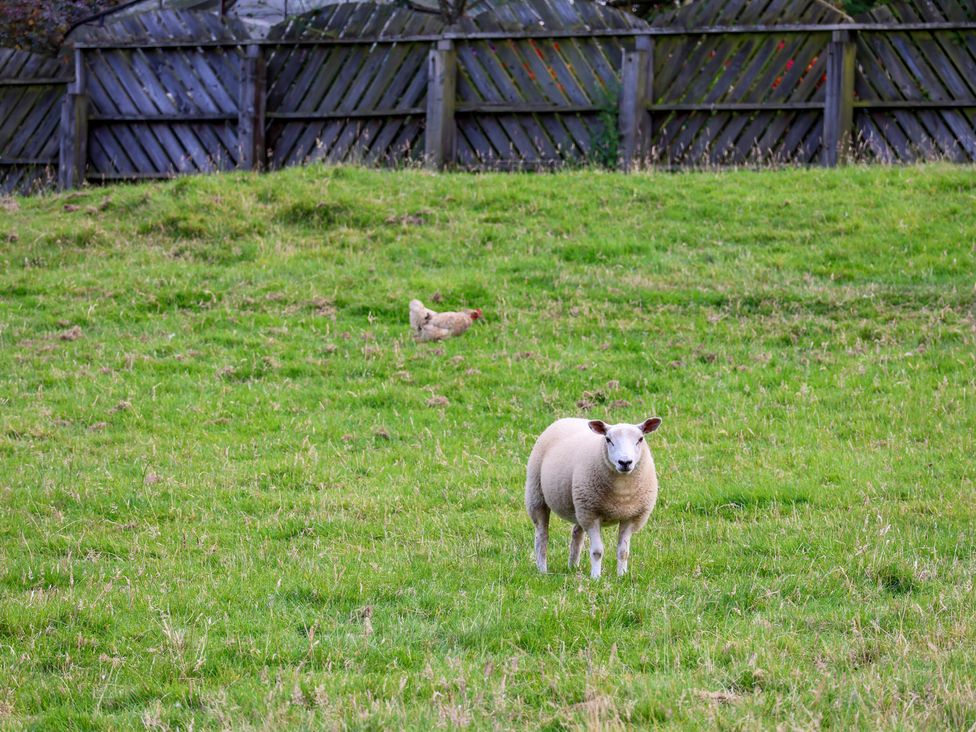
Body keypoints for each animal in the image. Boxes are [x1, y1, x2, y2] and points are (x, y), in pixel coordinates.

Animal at [528, 418, 664, 576]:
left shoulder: (631, 517)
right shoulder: (592, 515)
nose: (625, 462)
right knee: (542, 535)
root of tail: (566, 418)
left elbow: (623, 552)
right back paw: (542, 570)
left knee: (577, 534)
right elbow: (597, 551)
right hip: (536, 495)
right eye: (608, 439)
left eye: (640, 439)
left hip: (580, 506)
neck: (622, 494)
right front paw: (596, 576)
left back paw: (573, 567)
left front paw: (622, 576)